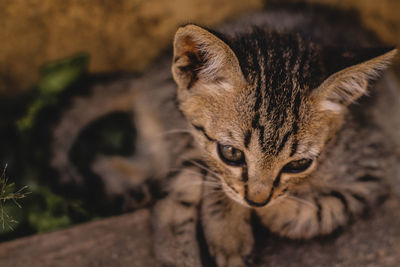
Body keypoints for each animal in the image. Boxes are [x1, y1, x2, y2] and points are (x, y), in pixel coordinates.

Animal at [152, 23, 396, 267]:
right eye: (231, 152)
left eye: (298, 164)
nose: (257, 201)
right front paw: (229, 234)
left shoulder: (371, 168)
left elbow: (323, 211)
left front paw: (264, 216)